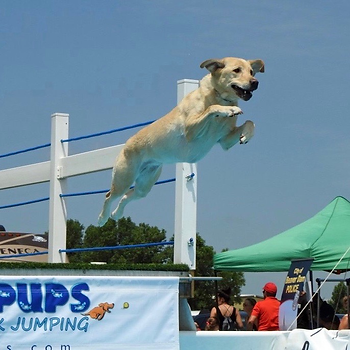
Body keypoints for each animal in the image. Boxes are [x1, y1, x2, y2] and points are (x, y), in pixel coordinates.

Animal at [97, 56, 264, 226]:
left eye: (251, 72)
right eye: (237, 70)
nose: (255, 82)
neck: (219, 96)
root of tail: (126, 145)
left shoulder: (225, 140)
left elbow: (250, 122)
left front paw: (246, 135)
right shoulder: (191, 129)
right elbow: (211, 109)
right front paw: (228, 110)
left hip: (145, 184)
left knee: (127, 196)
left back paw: (116, 214)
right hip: (124, 179)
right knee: (109, 195)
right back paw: (102, 218)